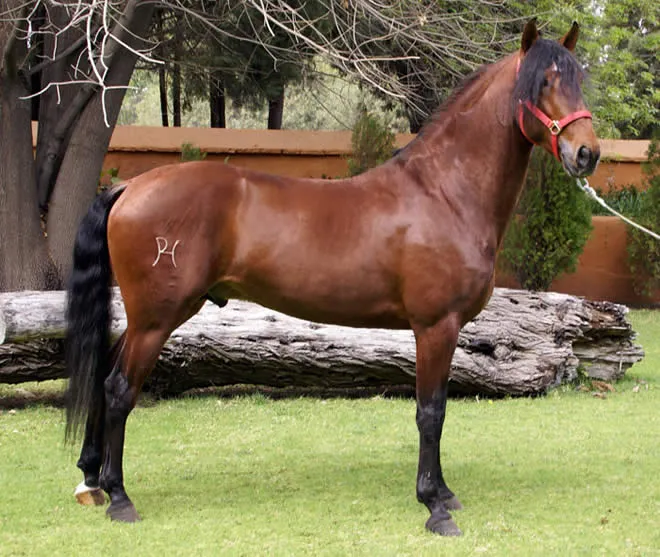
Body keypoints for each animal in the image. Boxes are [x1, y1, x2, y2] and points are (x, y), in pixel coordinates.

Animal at [65, 20, 600, 536]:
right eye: (544, 81)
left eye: (579, 79)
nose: (586, 154)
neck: (445, 193)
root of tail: (131, 186)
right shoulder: (436, 327)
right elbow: (431, 412)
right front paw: (434, 506)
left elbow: (438, 409)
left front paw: (445, 494)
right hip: (157, 318)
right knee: (119, 389)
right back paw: (120, 497)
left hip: (144, 319)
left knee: (104, 377)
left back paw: (91, 480)